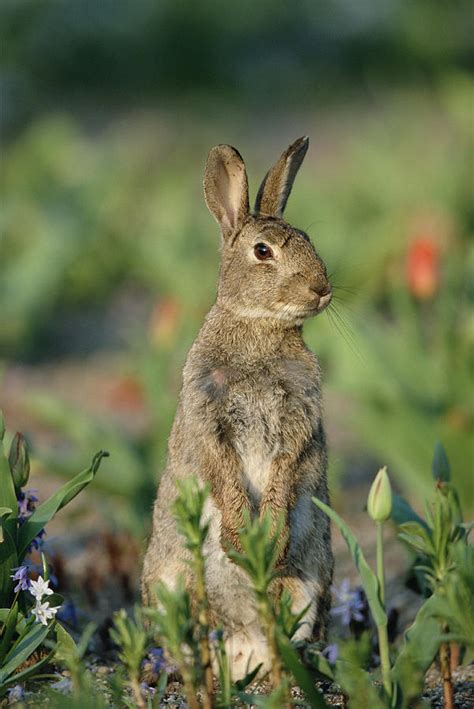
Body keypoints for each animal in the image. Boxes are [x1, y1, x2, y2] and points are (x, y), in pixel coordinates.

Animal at [141, 136, 334, 676]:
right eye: (262, 251)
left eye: (308, 238)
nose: (322, 287)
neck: (258, 325)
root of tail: (244, 645)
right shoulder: (209, 419)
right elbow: (224, 474)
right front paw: (240, 540)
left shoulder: (299, 423)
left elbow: (286, 472)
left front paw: (266, 539)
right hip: (170, 581)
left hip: (311, 583)